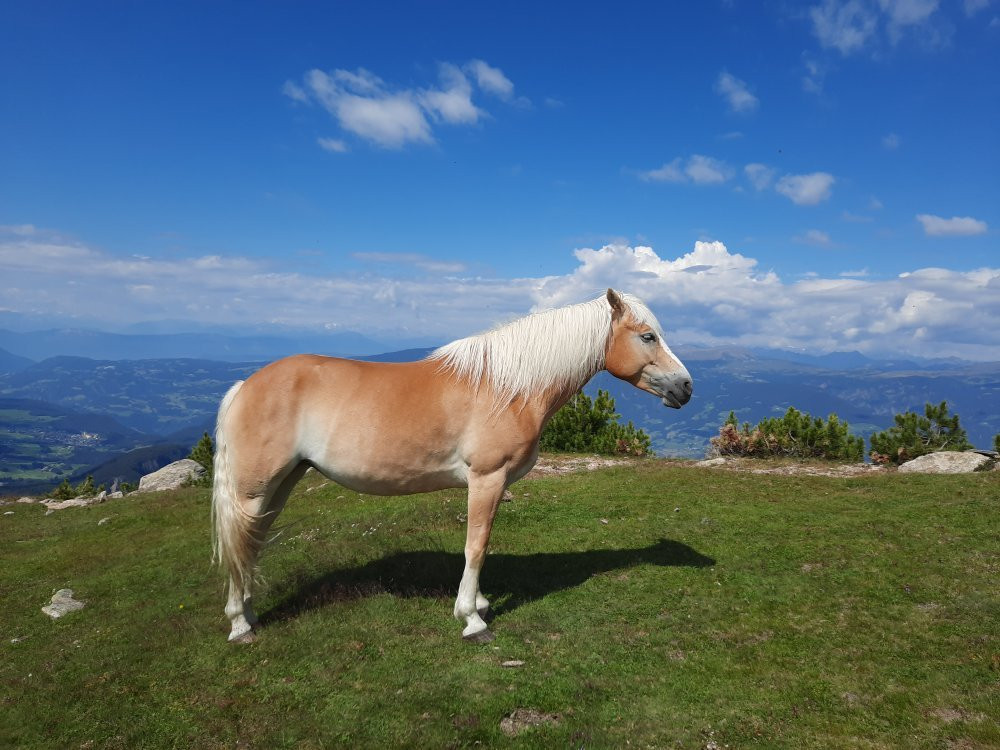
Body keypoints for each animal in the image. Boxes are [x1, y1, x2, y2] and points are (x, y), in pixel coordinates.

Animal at [214, 290, 692, 644]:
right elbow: (475, 546)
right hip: (254, 491)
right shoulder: (486, 479)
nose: (686, 387)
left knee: (251, 545)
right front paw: (472, 619)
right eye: (648, 336)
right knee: (242, 545)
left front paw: (478, 603)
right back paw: (239, 624)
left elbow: (482, 545)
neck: (508, 387)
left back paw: (249, 615)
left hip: (279, 485)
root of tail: (244, 386)